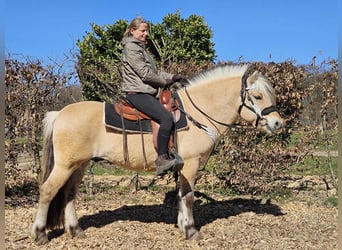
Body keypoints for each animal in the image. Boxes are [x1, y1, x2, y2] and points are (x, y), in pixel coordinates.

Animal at [31, 64, 284, 244]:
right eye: (258, 97)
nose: (277, 123)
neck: (196, 114)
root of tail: (59, 114)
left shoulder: (183, 168)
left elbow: (181, 196)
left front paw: (183, 226)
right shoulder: (190, 165)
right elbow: (189, 197)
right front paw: (191, 231)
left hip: (79, 165)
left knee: (69, 194)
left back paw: (75, 231)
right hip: (65, 165)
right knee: (48, 191)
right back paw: (40, 234)